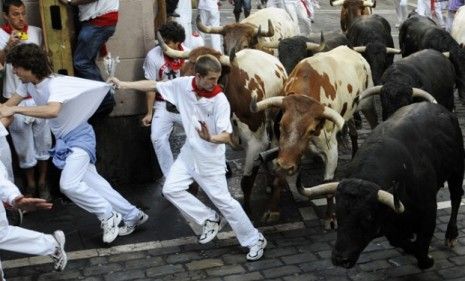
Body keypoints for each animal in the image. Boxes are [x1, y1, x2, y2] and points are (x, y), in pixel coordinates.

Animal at [158, 32, 288, 221]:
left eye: (205, 77)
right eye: (182, 72)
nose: (170, 105)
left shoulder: (256, 142)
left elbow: (246, 181)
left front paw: (248, 211)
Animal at [250, 46, 376, 229]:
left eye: (310, 130)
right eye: (281, 125)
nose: (286, 166)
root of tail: (352, 50)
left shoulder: (331, 151)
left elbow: (328, 185)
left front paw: (330, 218)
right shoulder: (281, 150)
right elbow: (279, 179)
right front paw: (272, 210)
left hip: (368, 105)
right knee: (353, 132)